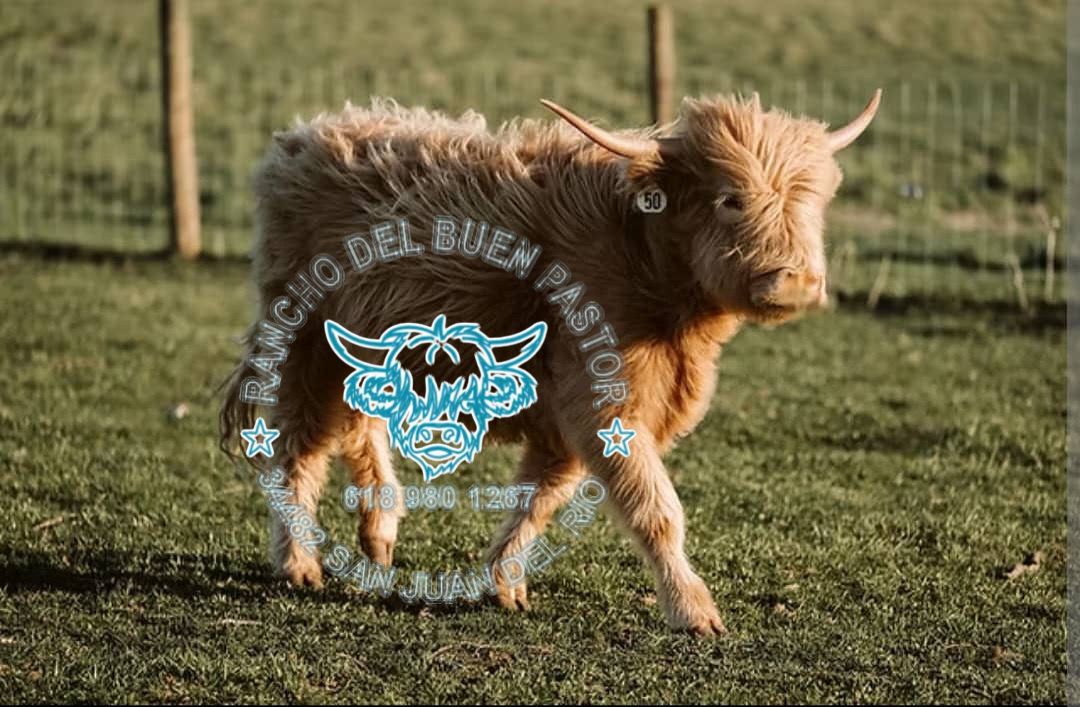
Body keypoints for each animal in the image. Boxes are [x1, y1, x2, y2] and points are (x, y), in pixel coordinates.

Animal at [220, 89, 881, 635]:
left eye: (812, 201)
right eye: (730, 198)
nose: (795, 281)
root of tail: (306, 135)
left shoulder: (570, 415)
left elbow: (539, 497)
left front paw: (502, 582)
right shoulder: (601, 402)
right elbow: (655, 509)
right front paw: (694, 611)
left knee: (358, 424)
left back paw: (378, 531)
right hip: (303, 346)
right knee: (301, 449)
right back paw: (300, 563)